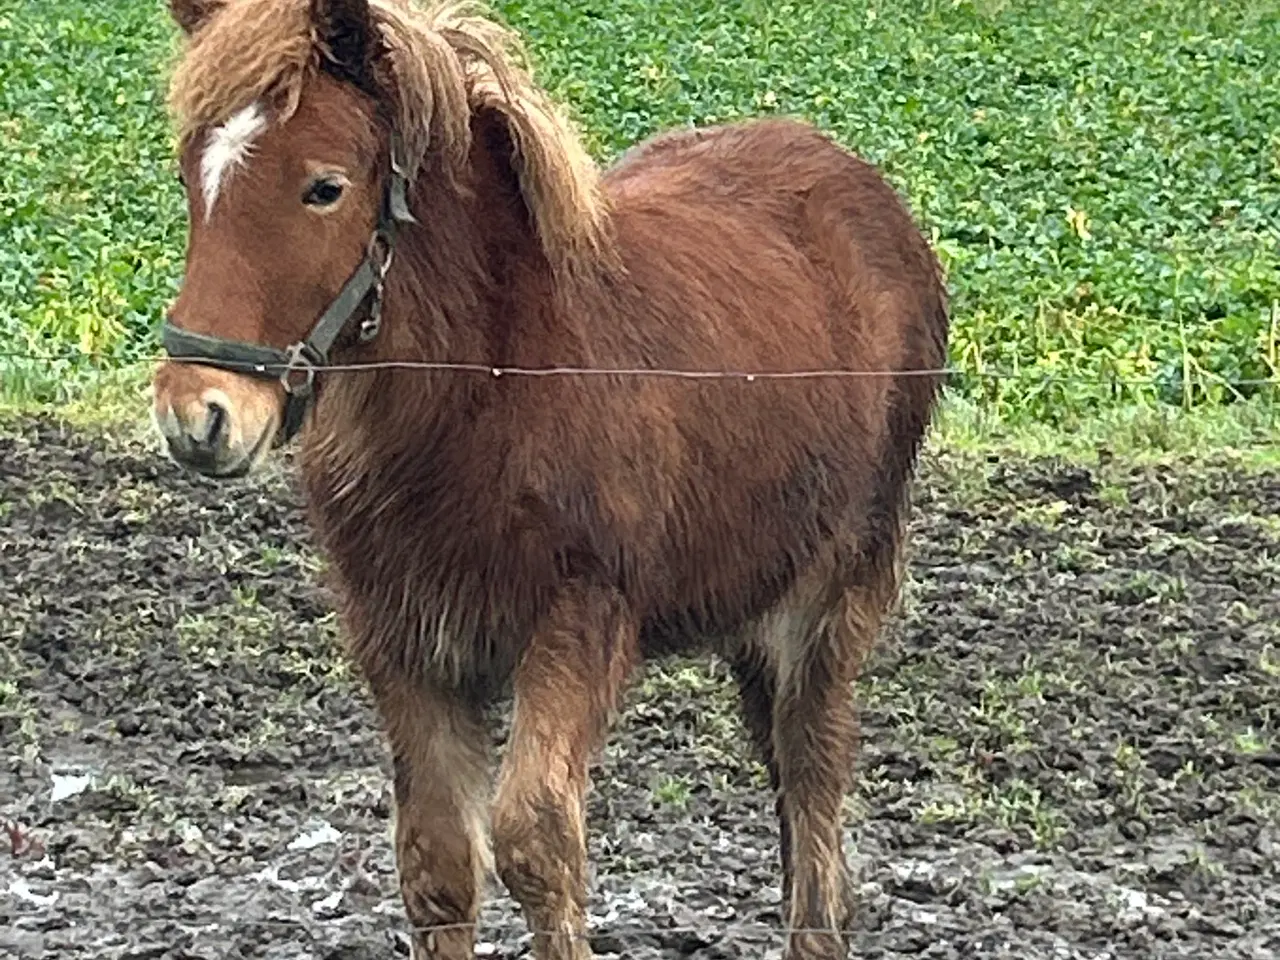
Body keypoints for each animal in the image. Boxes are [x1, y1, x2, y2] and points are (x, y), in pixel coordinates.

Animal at [149, 1, 952, 960]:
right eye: (192, 175)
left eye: (324, 188)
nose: (198, 414)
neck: (490, 388)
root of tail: (864, 190)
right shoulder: (401, 636)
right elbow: (437, 863)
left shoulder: (580, 616)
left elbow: (535, 842)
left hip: (834, 592)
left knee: (814, 783)